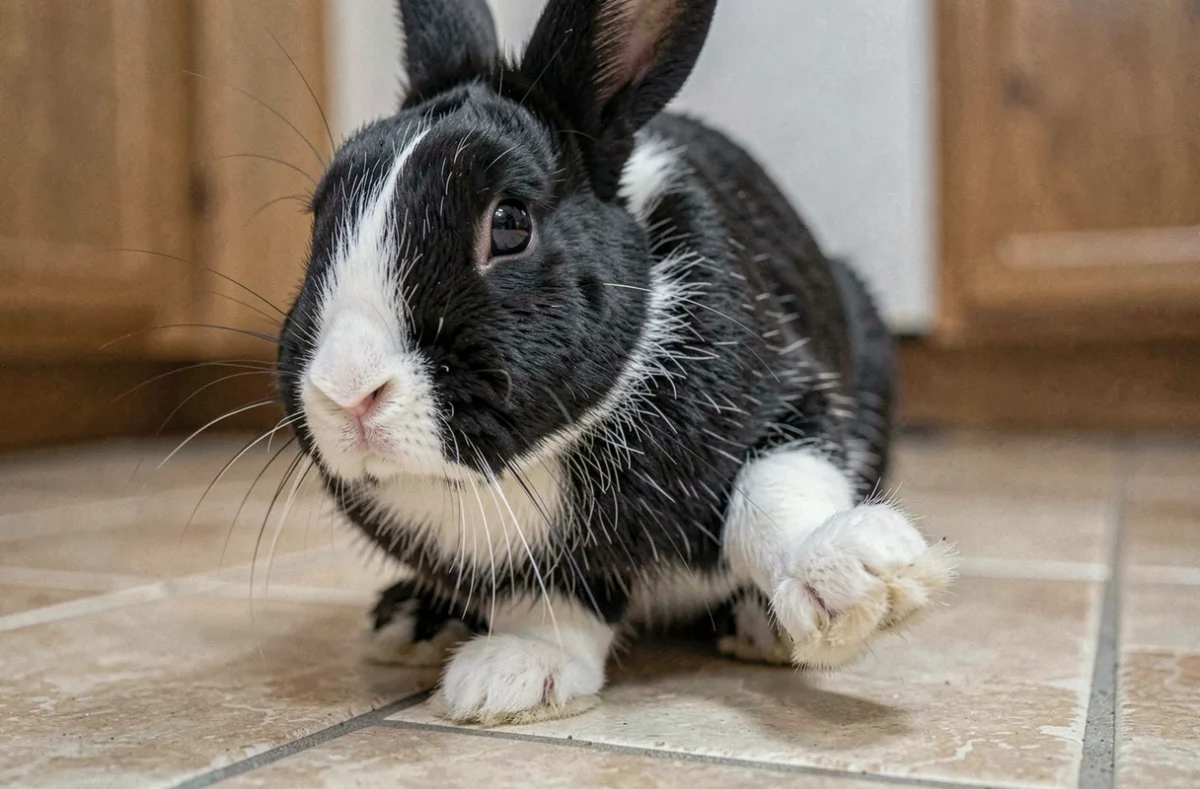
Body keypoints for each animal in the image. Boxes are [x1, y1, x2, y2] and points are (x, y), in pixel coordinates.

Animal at [275, 0, 956, 726]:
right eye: (318, 218)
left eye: (509, 223)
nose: (347, 391)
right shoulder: (519, 563)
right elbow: (547, 598)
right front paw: (514, 675)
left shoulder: (788, 407)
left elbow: (773, 492)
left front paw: (854, 579)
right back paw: (412, 622)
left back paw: (763, 625)